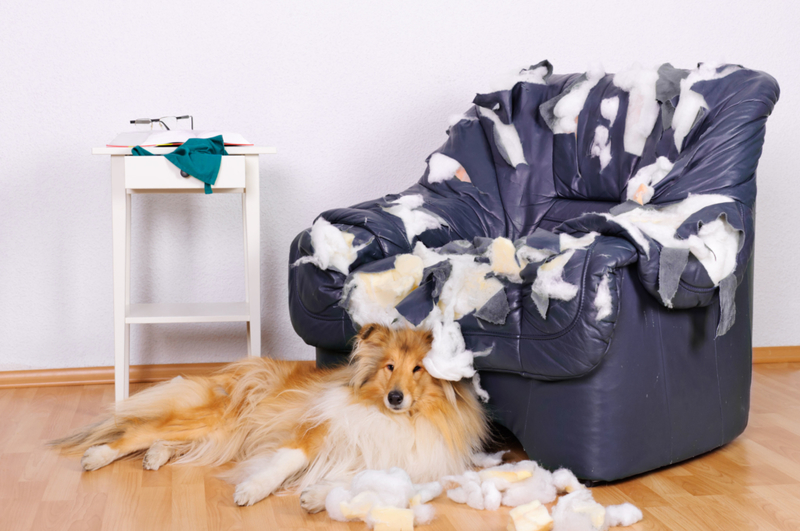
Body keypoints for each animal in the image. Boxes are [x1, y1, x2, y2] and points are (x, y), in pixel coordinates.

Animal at [51, 324, 488, 512]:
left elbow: (362, 480)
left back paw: (157, 455)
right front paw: (251, 490)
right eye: (390, 367)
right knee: (140, 429)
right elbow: (283, 463)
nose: (395, 397)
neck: (396, 419)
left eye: (418, 369)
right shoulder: (313, 431)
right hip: (218, 419)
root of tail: (236, 369)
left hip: (226, 435)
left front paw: (316, 496)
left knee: (167, 439)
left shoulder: (404, 462)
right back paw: (98, 456)